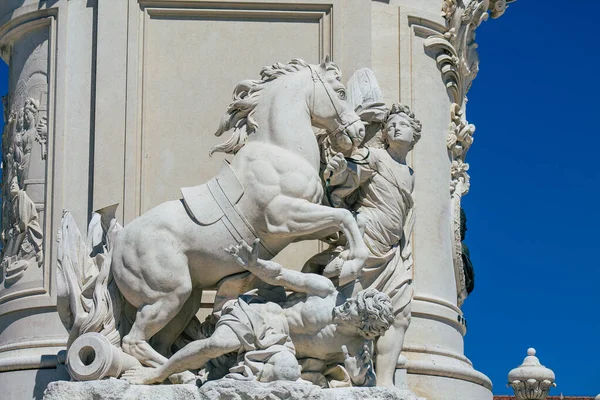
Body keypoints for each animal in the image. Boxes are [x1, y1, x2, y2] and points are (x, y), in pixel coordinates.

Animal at [109, 57, 370, 368]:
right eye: (340, 92)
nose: (359, 132)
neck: (280, 151)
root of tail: (117, 245)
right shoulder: (284, 219)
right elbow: (344, 218)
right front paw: (352, 265)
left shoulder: (304, 221)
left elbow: (348, 222)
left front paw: (339, 260)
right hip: (169, 295)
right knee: (133, 342)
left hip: (187, 300)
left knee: (158, 341)